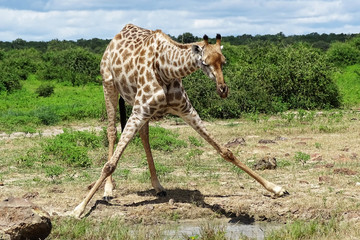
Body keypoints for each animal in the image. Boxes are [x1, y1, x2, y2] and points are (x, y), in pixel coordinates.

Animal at [71, 23, 288, 218]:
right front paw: (78, 209)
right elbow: (110, 164)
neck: (166, 70)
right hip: (109, 85)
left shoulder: (185, 109)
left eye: (224, 62)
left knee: (144, 136)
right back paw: (108, 190)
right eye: (205, 63)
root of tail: (117, 35)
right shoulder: (140, 110)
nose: (223, 89)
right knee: (111, 131)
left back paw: (158, 186)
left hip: (138, 106)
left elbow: (225, 151)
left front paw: (276, 188)